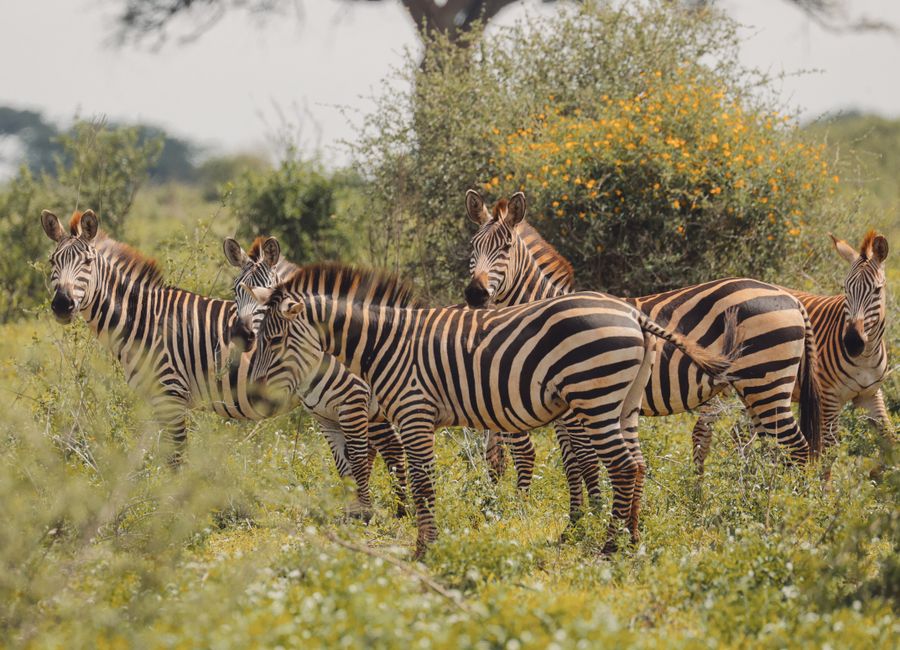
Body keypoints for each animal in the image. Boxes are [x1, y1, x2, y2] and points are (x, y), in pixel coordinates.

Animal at [39, 209, 378, 519]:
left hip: (348, 395)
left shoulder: (172, 395)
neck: (144, 320)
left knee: (363, 453)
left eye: (86, 263)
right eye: (52, 262)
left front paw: (174, 513)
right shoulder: (158, 401)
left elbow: (176, 458)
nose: (62, 305)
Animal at [223, 236, 409, 516]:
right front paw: (351, 513)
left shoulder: (354, 404)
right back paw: (401, 509)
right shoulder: (324, 415)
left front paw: (363, 513)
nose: (242, 335)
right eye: (236, 291)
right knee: (391, 446)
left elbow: (356, 460)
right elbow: (343, 466)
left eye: (267, 291)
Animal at [246, 263, 735, 557]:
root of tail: (633, 315)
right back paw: (633, 539)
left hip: (595, 398)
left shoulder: (414, 413)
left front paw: (424, 549)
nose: (254, 394)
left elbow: (421, 483)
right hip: (624, 403)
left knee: (621, 467)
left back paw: (610, 546)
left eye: (274, 339)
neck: (388, 344)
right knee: (637, 464)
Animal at [463, 190, 822, 490]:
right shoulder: (563, 413)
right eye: (472, 247)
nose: (475, 294)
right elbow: (569, 464)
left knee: (797, 448)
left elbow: (582, 463)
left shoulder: (577, 408)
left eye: (506, 248)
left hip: (767, 382)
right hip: (757, 388)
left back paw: (794, 504)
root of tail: (790, 298)